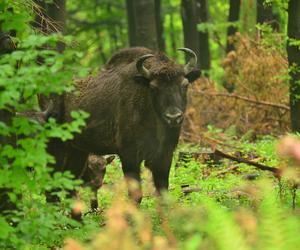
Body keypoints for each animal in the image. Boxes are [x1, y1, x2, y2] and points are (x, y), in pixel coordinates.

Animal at [48, 46, 200, 203]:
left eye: (185, 85)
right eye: (153, 87)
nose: (173, 117)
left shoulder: (165, 155)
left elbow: (162, 192)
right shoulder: (129, 155)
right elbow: (136, 195)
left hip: (78, 150)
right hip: (56, 146)